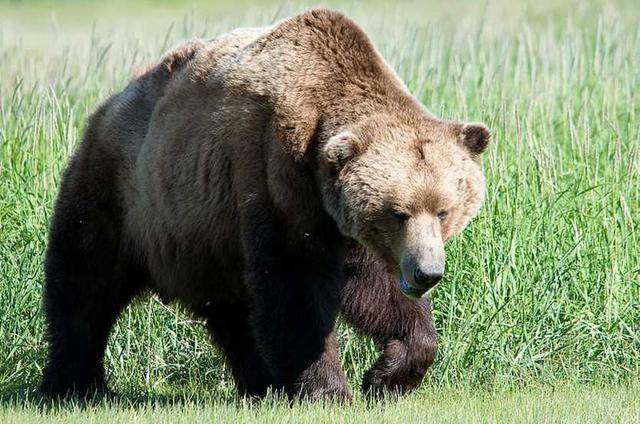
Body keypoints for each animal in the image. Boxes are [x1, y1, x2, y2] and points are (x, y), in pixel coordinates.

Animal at [41, 9, 490, 400]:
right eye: (397, 213)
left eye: (444, 210)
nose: (426, 273)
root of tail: (109, 103)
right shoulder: (276, 177)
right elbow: (295, 288)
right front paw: (329, 389)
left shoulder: (343, 225)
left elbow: (377, 291)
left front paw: (387, 374)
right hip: (124, 194)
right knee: (84, 284)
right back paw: (73, 384)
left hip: (206, 238)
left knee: (231, 313)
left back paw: (260, 383)